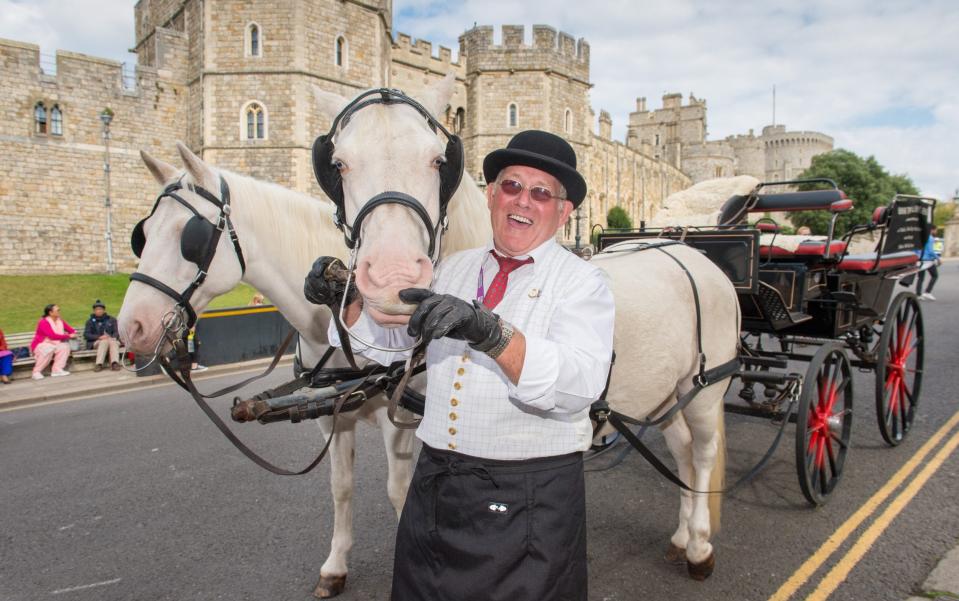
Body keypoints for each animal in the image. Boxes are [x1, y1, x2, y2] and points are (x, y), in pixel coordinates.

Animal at [119, 138, 488, 592]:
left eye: (188, 237)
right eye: (142, 235)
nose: (131, 326)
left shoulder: (398, 414)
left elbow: (399, 490)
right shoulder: (331, 415)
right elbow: (341, 487)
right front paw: (335, 565)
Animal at [312, 77, 740, 580]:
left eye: (438, 160)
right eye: (338, 164)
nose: (392, 276)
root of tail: (688, 249)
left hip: (705, 387)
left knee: (704, 452)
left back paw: (699, 544)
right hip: (665, 395)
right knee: (685, 451)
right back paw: (681, 535)